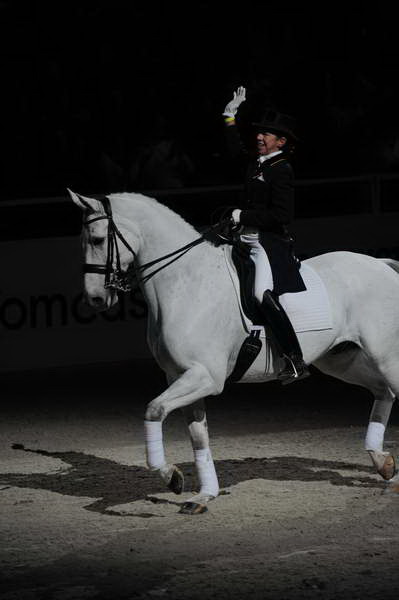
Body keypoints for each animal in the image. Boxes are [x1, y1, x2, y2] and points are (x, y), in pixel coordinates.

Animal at [69, 190, 399, 512]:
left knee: (389, 388)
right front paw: (203, 495)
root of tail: (381, 264)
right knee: (383, 392)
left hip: (385, 357)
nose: (95, 299)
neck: (186, 283)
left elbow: (154, 410)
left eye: (97, 239)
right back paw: (383, 463)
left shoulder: (206, 377)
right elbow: (198, 435)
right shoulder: (180, 376)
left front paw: (172, 477)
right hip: (341, 359)